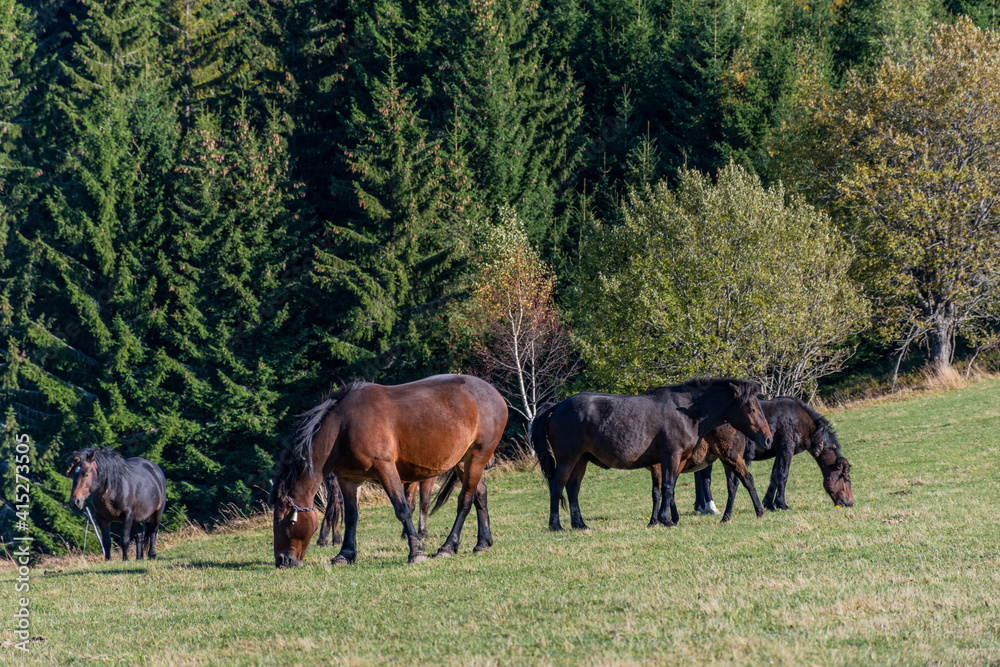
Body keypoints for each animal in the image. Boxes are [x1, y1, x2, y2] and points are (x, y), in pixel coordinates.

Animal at [272, 376, 508, 568]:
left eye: (285, 521)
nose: (282, 560)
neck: (343, 428)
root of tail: (495, 394)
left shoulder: (385, 468)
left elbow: (402, 509)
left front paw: (416, 551)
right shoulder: (348, 479)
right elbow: (351, 516)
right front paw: (345, 554)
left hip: (477, 457)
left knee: (465, 501)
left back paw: (448, 547)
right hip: (462, 462)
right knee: (480, 493)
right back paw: (483, 543)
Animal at [532, 378, 772, 528]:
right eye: (752, 409)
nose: (768, 438)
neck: (686, 412)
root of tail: (557, 405)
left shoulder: (676, 461)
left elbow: (667, 489)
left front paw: (663, 519)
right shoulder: (670, 457)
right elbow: (666, 488)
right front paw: (666, 520)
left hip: (580, 461)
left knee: (573, 490)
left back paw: (580, 524)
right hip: (568, 459)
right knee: (557, 486)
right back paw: (556, 525)